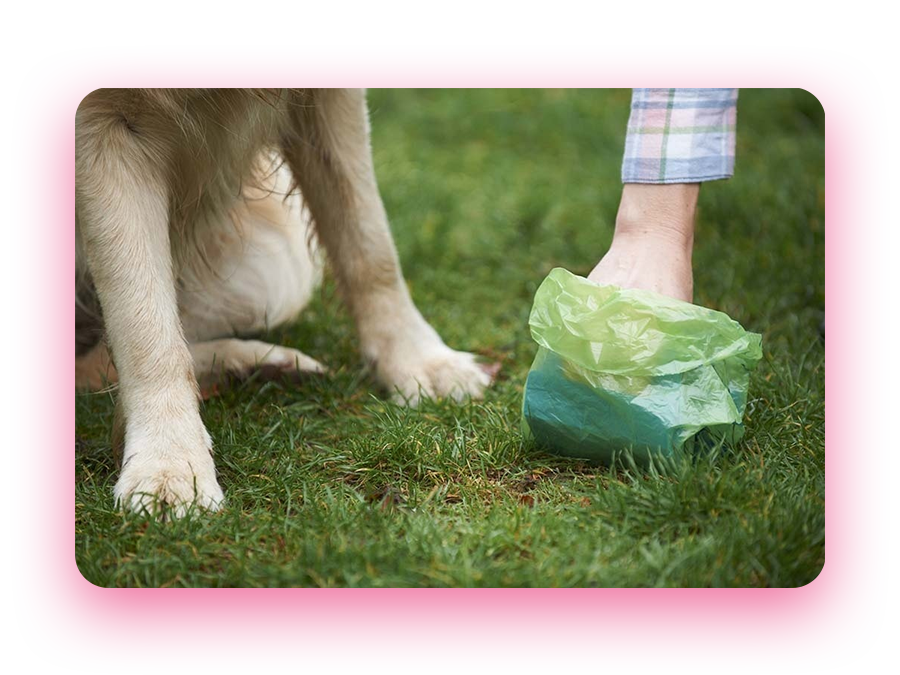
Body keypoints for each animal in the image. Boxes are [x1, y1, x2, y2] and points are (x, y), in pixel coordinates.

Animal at [76, 90, 492, 516]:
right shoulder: (100, 126)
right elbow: (144, 325)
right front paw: (169, 463)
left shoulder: (328, 102)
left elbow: (369, 241)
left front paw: (419, 361)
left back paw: (260, 366)